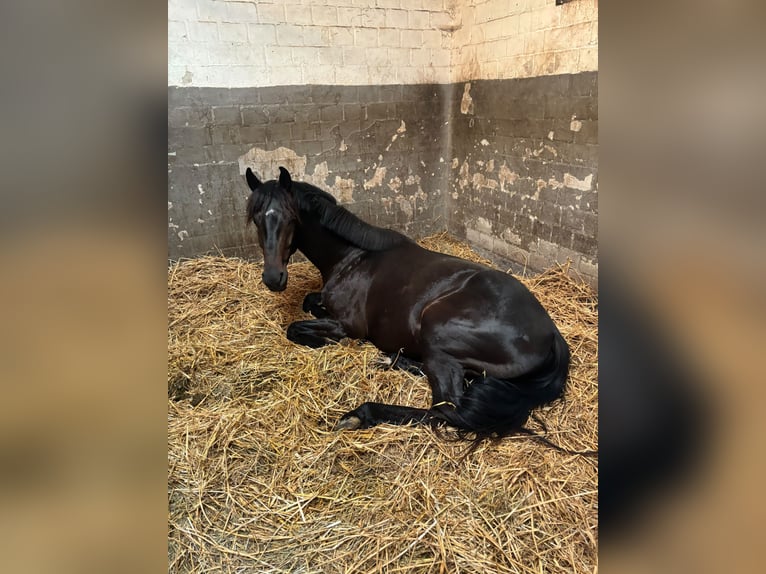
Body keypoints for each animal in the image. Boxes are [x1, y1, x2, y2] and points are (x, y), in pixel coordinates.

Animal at [244, 166, 570, 440]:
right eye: (257, 219)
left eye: (291, 219)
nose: (273, 277)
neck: (353, 257)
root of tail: (551, 334)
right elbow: (309, 301)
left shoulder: (349, 325)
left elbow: (296, 328)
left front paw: (334, 342)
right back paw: (391, 359)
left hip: (437, 332)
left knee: (447, 410)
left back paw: (362, 413)